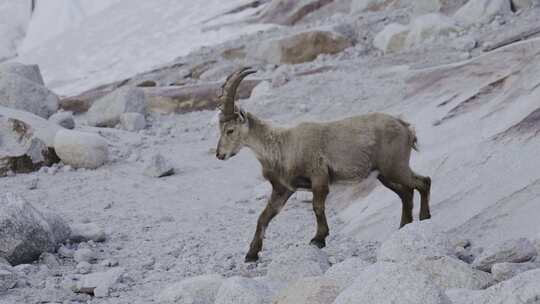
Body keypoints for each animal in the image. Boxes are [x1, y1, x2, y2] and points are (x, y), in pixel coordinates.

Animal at [215, 67, 430, 262]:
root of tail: (405, 127)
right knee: (406, 192)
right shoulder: (283, 189)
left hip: (395, 167)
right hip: (383, 174)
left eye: (230, 130)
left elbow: (317, 207)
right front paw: (251, 254)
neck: (282, 145)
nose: (219, 154)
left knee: (423, 182)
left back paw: (425, 217)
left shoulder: (318, 177)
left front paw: (318, 239)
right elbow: (263, 217)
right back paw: (405, 225)